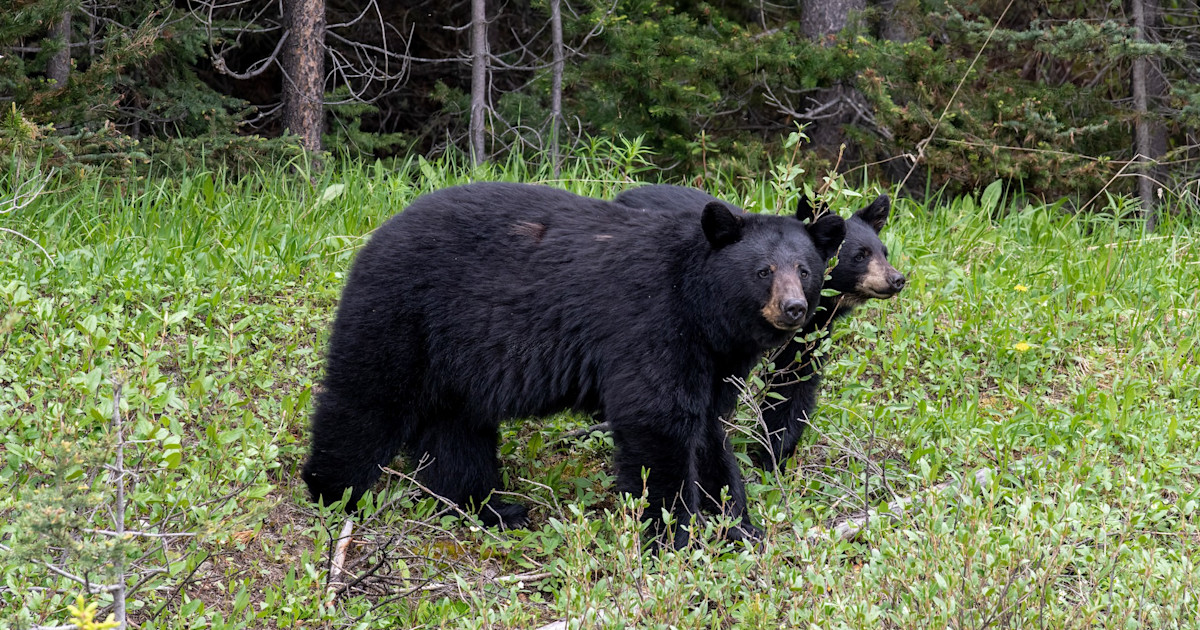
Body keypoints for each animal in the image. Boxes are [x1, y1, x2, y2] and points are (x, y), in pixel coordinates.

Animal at [302, 182, 846, 548]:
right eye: (763, 270)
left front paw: (737, 526)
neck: (698, 305)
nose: (794, 308)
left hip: (456, 360)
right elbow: (657, 423)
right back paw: (334, 491)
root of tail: (377, 234)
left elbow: (708, 431)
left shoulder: (712, 358)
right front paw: (671, 533)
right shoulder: (651, 322)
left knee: (456, 432)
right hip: (405, 315)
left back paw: (492, 508)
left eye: (805, 269)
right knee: (368, 401)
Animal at [614, 185, 904, 471]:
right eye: (860, 255)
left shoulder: (810, 331)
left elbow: (794, 383)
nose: (897, 279)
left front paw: (776, 457)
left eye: (884, 252)